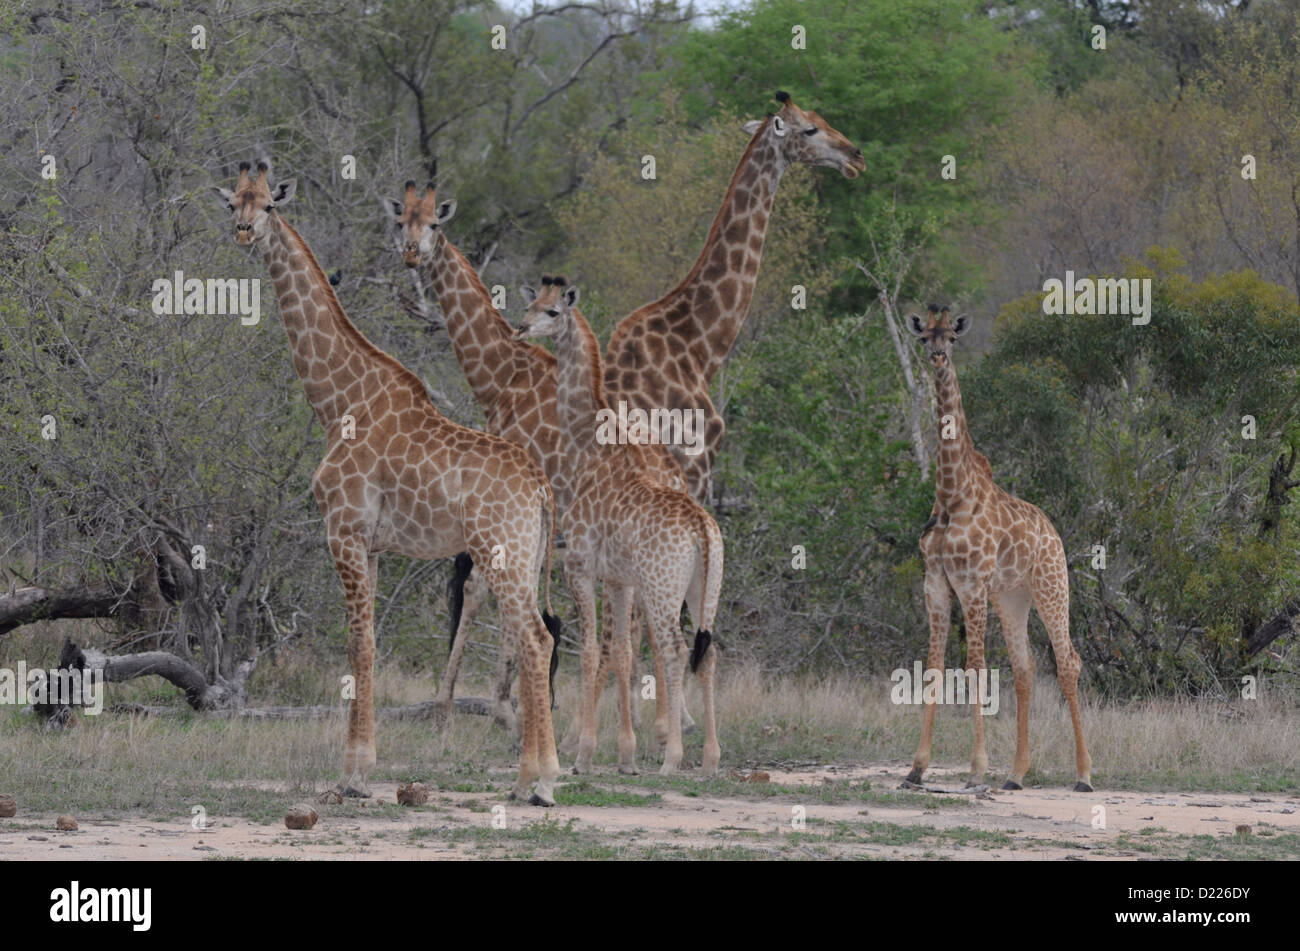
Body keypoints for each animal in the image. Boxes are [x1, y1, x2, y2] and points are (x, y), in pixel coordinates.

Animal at [210, 161, 561, 800]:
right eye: (233, 205)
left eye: (269, 206)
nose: (245, 233)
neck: (338, 401)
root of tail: (542, 488)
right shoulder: (372, 544)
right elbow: (366, 642)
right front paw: (361, 765)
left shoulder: (344, 530)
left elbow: (359, 642)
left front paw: (352, 772)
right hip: (525, 556)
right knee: (538, 637)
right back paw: (537, 775)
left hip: (500, 552)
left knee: (533, 638)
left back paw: (539, 781)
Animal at [382, 181, 691, 748]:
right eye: (400, 222)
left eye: (434, 223)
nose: (412, 253)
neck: (501, 378)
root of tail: (676, 476)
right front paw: (517, 707)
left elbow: (482, 591)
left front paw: (492, 709)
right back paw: (657, 722)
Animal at [512, 275, 728, 774]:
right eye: (531, 303)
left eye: (552, 312)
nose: (521, 327)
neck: (587, 447)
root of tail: (701, 530)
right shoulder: (619, 579)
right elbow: (623, 654)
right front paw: (625, 755)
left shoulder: (580, 566)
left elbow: (592, 652)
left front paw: (584, 755)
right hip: (702, 588)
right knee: (707, 653)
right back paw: (710, 759)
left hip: (664, 588)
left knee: (674, 650)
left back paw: (672, 759)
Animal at [904, 306, 1097, 795]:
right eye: (924, 337)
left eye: (952, 337)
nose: (936, 357)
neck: (951, 494)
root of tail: (1053, 531)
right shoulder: (936, 583)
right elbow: (934, 667)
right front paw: (915, 769)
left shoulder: (972, 583)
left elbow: (974, 666)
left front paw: (976, 770)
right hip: (1013, 597)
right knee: (1026, 668)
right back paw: (1015, 774)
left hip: (1052, 586)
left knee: (1068, 661)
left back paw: (1084, 775)